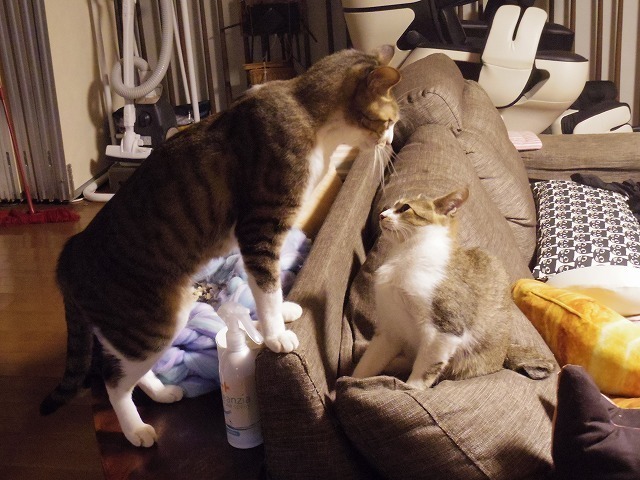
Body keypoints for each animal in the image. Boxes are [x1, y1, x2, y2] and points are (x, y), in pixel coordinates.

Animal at [41, 46, 401, 447]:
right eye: (389, 121)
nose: (390, 142)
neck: (308, 112)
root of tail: (70, 254)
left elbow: (264, 286)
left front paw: (282, 312)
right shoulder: (259, 227)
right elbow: (266, 285)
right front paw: (276, 336)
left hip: (153, 319)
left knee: (120, 367)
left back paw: (161, 392)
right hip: (150, 323)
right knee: (114, 381)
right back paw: (136, 430)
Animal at [352, 188, 555, 389]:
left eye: (405, 208)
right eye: (392, 206)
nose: (382, 215)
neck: (406, 254)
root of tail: (504, 353)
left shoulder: (444, 330)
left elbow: (423, 371)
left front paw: (409, 389)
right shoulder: (391, 328)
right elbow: (368, 363)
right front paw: (353, 380)